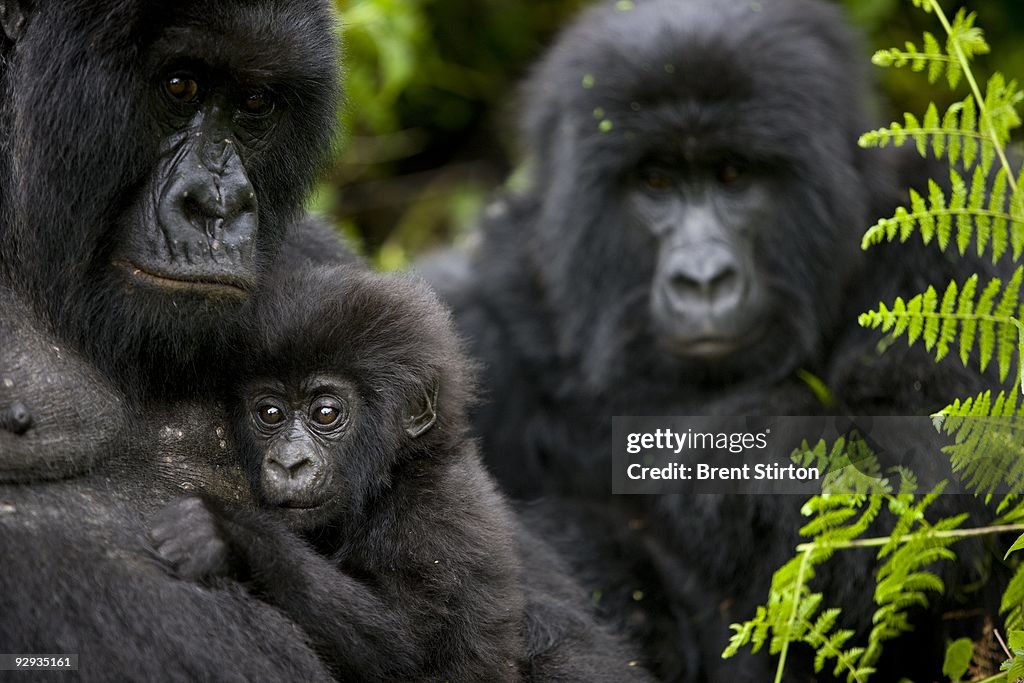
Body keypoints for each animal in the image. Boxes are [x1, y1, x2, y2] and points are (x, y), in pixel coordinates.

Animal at [423, 1, 1007, 683]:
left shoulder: (962, 234)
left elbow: (911, 467)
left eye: (733, 175)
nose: (702, 279)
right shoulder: (474, 316)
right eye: (654, 182)